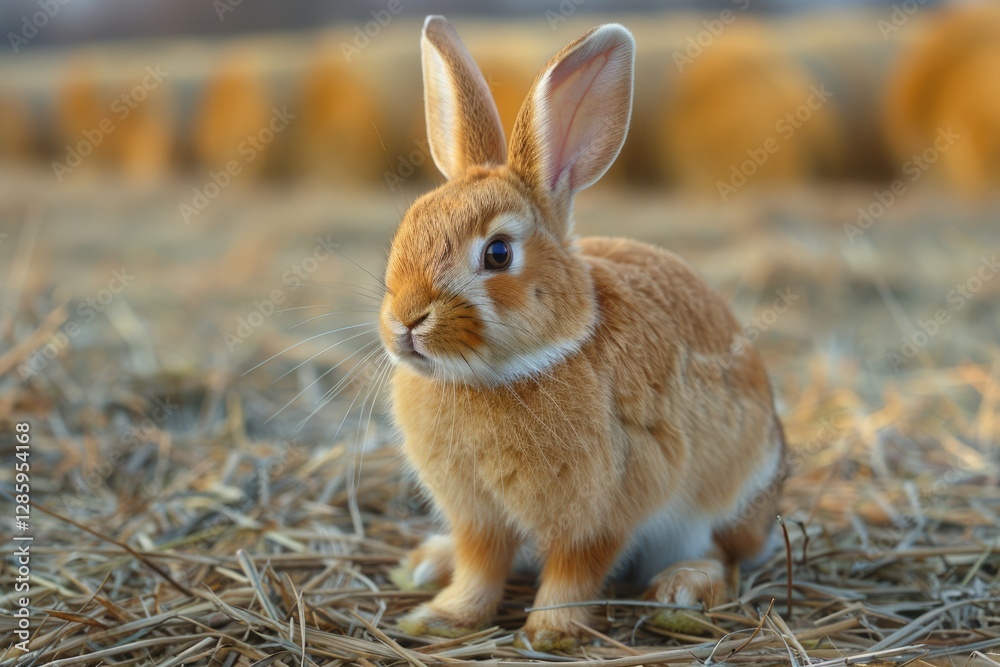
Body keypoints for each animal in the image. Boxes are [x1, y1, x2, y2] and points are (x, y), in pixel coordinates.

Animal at [379, 15, 786, 650]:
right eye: (408, 225)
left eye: (498, 253)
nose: (406, 322)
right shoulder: (477, 515)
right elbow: (480, 564)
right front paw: (441, 616)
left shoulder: (605, 505)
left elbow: (576, 570)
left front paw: (550, 632)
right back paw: (427, 563)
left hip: (721, 502)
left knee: (725, 555)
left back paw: (681, 590)